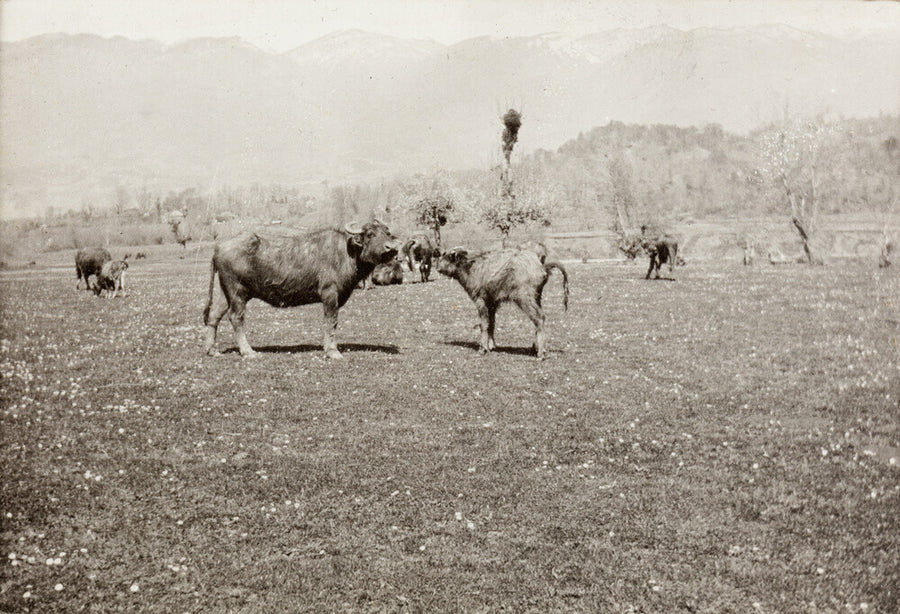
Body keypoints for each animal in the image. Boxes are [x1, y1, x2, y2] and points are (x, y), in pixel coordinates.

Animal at [202, 220, 400, 359]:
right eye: (370, 234)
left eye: (387, 233)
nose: (391, 248)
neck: (346, 253)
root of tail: (219, 247)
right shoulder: (330, 295)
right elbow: (330, 322)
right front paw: (332, 351)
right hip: (237, 292)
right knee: (236, 318)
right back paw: (248, 351)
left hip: (224, 292)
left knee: (214, 316)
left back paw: (212, 350)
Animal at [437, 247, 569, 359]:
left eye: (447, 256)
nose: (437, 266)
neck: (471, 267)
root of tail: (542, 267)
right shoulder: (492, 303)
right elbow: (492, 323)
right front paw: (491, 346)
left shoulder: (481, 300)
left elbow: (484, 324)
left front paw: (482, 349)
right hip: (537, 298)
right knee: (539, 319)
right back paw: (535, 348)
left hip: (525, 299)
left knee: (539, 318)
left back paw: (540, 353)